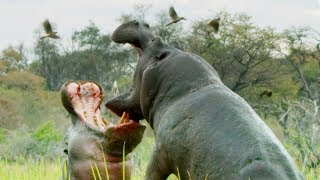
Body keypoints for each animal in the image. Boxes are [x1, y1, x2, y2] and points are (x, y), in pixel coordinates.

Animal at [61, 20, 304, 179]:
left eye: (156, 41)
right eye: (175, 42)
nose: (138, 22)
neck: (190, 86)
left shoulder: (160, 153)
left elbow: (152, 173)